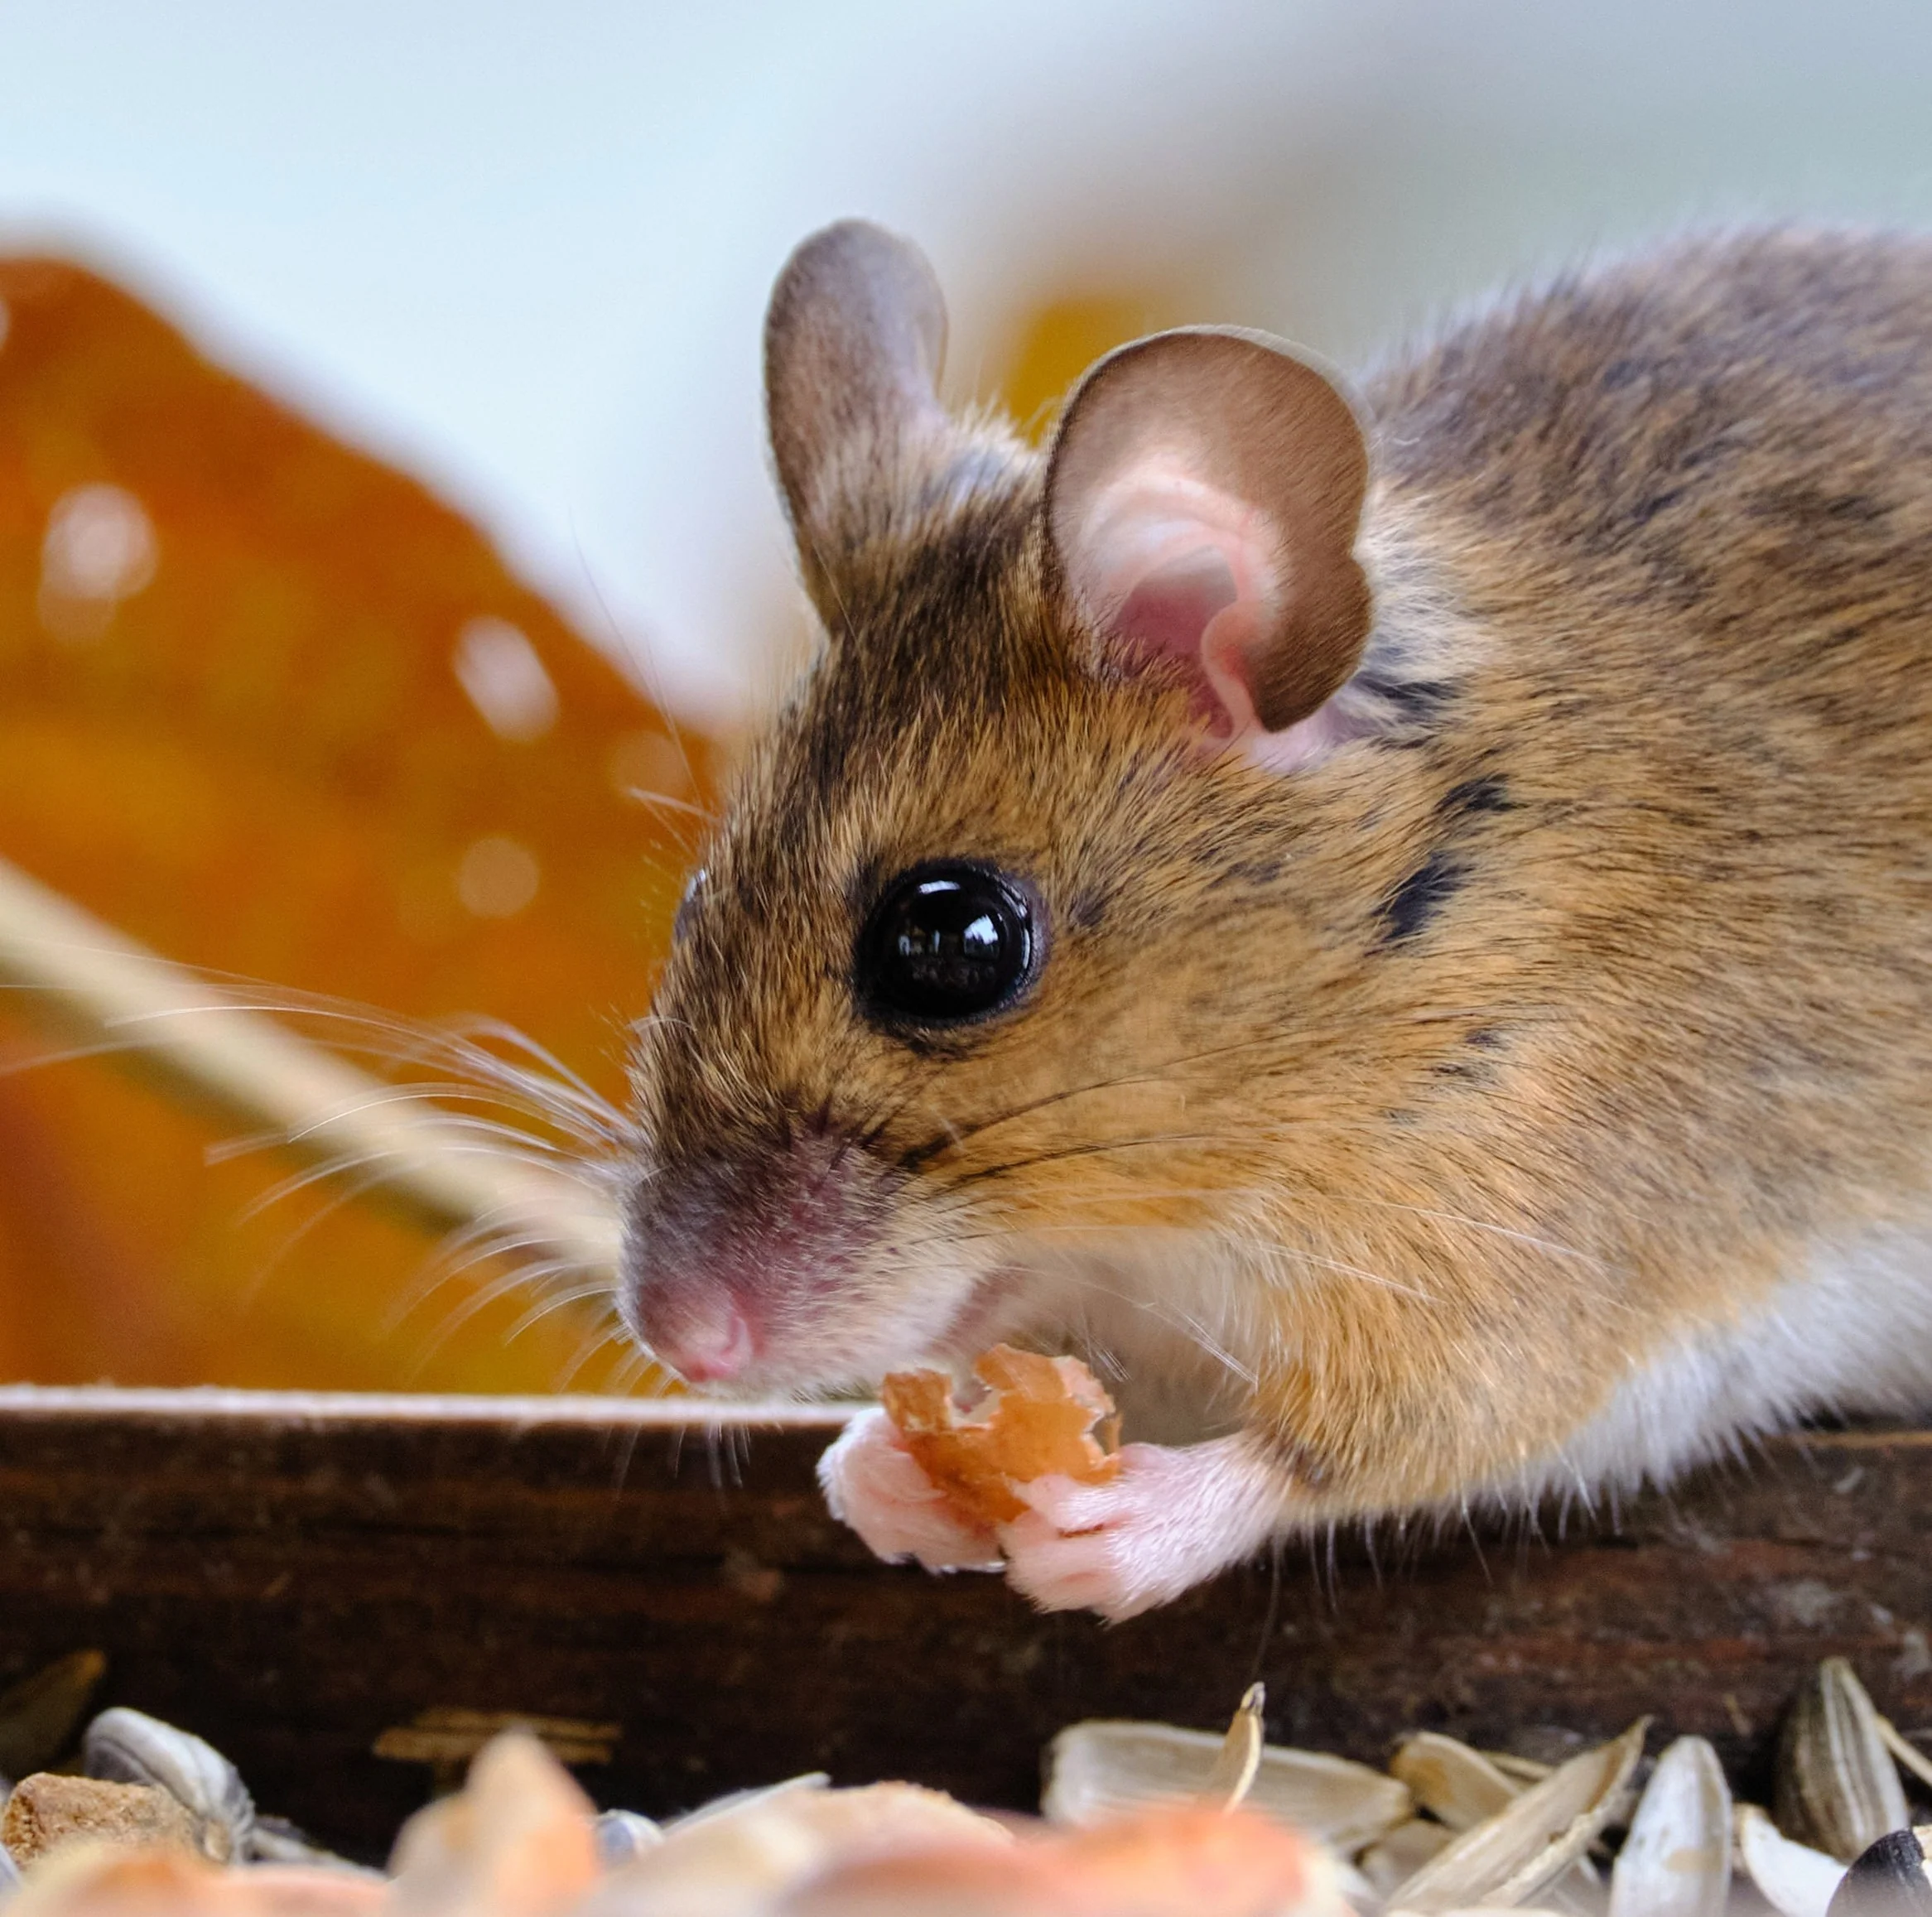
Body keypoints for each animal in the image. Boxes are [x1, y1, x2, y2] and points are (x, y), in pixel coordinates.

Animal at [620, 219, 1932, 1619]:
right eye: (696, 898)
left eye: (948, 942)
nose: (680, 1340)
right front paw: (883, 1474)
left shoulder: (1523, 1261)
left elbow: (1322, 1457)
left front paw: (1112, 1527)